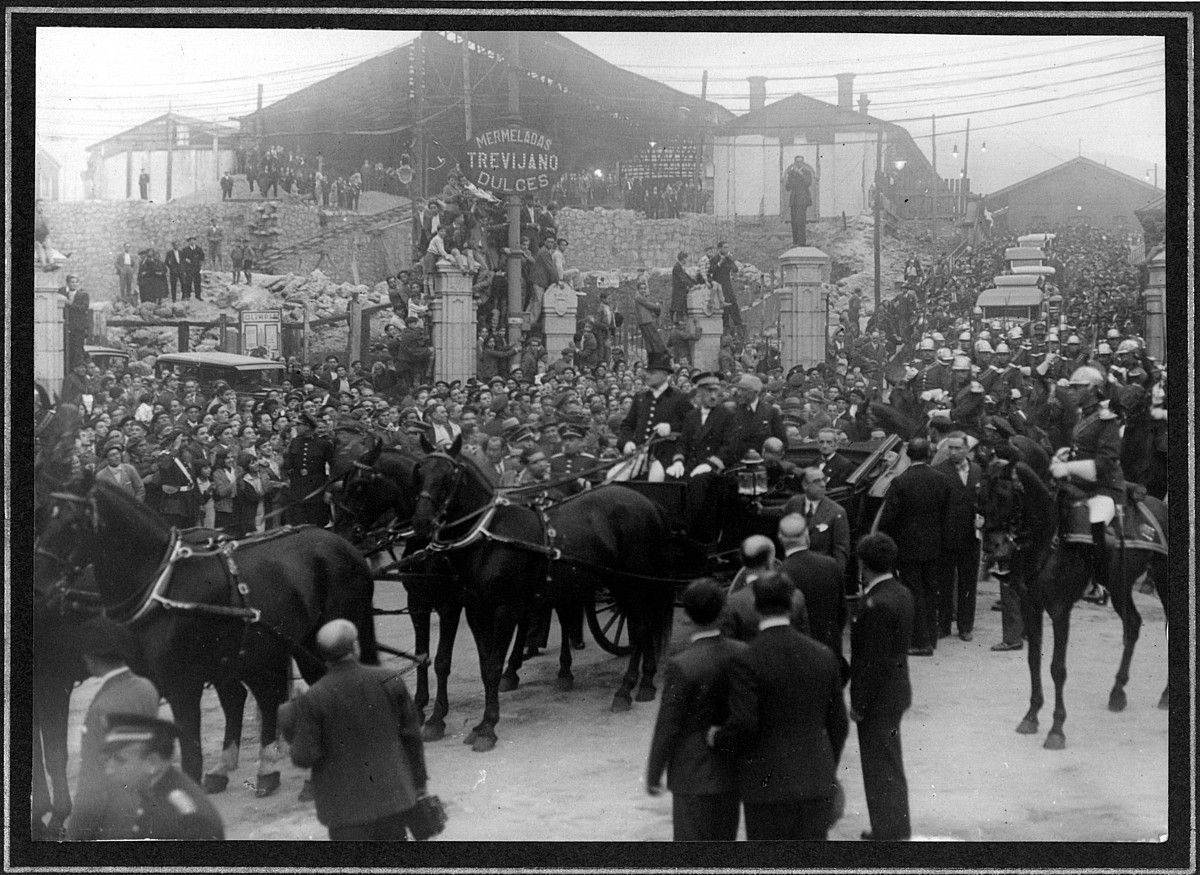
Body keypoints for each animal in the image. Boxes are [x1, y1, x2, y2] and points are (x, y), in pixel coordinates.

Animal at [37, 475, 376, 796]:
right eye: (45, 515)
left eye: (72, 521)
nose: (41, 587)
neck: (161, 585)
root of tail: (345, 546)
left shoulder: (182, 685)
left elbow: (190, 755)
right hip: (262, 649)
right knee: (266, 694)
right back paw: (260, 769)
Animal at [410, 436, 676, 748]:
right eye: (420, 471)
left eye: (449, 475)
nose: (421, 523)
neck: (489, 536)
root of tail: (648, 503)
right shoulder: (476, 610)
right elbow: (484, 664)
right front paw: (475, 723)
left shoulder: (502, 609)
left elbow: (492, 666)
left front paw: (487, 726)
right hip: (623, 585)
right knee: (642, 627)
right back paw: (644, 683)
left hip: (633, 584)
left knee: (641, 627)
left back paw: (626, 689)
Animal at [979, 446, 1166, 748]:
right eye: (980, 496)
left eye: (1005, 495)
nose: (992, 547)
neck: (1048, 538)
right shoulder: (1031, 606)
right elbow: (1034, 660)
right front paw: (1031, 716)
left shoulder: (1059, 610)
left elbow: (1058, 668)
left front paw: (1057, 729)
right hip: (1120, 586)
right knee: (1133, 625)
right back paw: (1117, 693)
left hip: (1160, 577)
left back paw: (1164, 695)